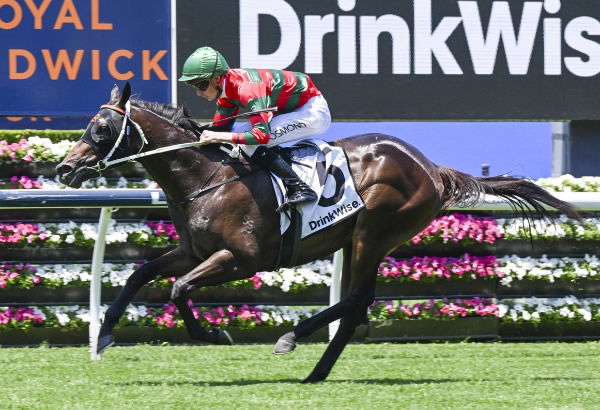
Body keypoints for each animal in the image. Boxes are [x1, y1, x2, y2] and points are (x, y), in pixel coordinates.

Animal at [56, 83, 580, 384]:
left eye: (100, 128)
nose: (65, 169)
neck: (206, 176)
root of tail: (432, 168)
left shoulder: (242, 259)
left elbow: (178, 289)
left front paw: (213, 333)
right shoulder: (193, 250)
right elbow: (140, 274)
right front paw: (104, 337)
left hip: (374, 233)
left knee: (356, 300)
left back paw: (292, 339)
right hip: (357, 241)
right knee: (356, 304)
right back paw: (316, 370)